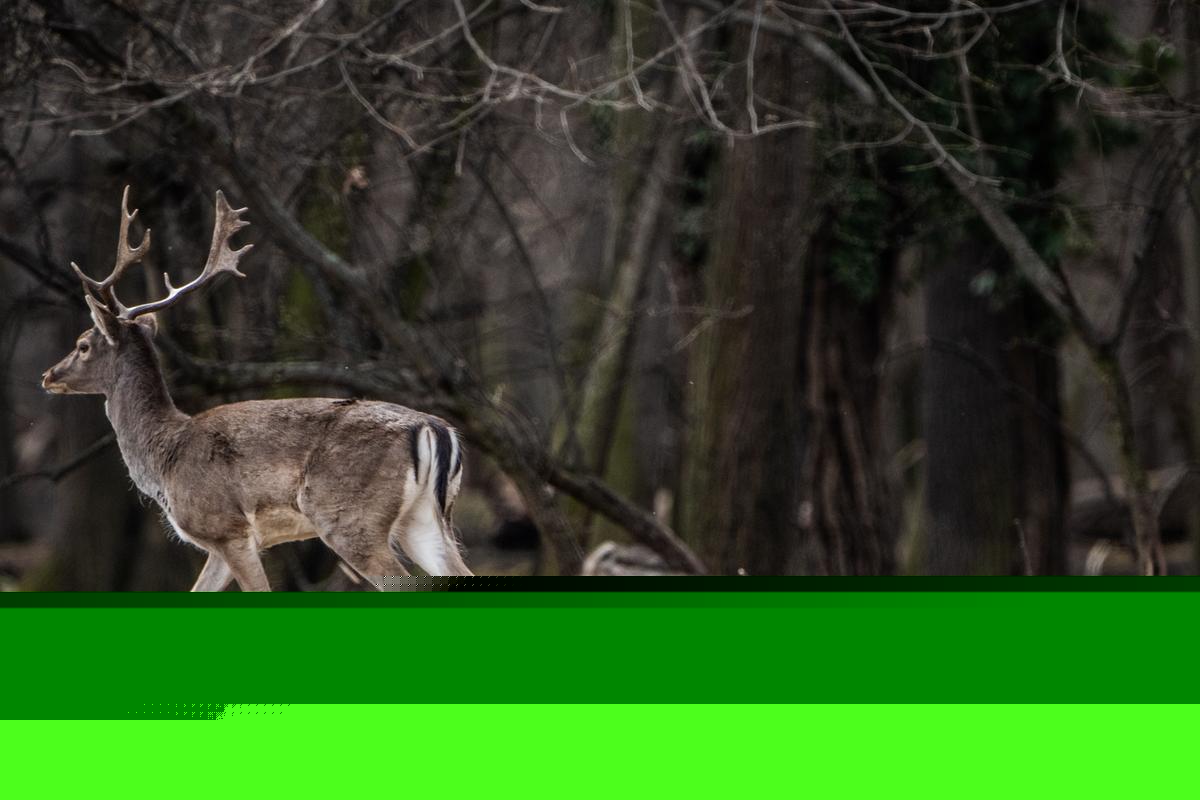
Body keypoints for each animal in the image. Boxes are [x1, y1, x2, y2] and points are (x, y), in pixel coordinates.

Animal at [41, 187, 473, 590]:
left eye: (83, 344)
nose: (48, 375)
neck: (164, 456)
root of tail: (436, 430)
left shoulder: (226, 526)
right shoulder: (221, 545)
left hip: (351, 518)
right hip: (425, 520)